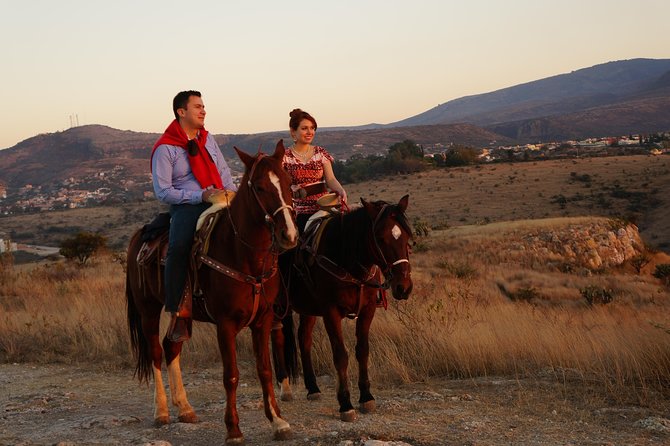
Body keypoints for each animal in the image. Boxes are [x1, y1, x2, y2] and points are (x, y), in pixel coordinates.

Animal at [126, 141, 300, 444]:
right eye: (258, 187)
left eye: (289, 182)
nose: (288, 235)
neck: (243, 255)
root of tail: (140, 235)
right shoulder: (225, 324)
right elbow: (231, 375)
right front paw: (233, 430)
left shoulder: (263, 320)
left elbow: (265, 370)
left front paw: (278, 421)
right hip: (148, 309)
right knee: (156, 353)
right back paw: (162, 411)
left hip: (180, 316)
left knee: (171, 347)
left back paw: (184, 408)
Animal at [272, 195, 414, 422]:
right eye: (380, 238)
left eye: (407, 235)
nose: (404, 287)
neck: (346, 258)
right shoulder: (331, 313)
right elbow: (340, 355)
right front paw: (345, 404)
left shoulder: (367, 311)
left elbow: (362, 350)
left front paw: (366, 397)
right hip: (277, 306)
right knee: (277, 338)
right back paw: (284, 387)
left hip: (307, 309)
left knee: (304, 338)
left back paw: (313, 388)